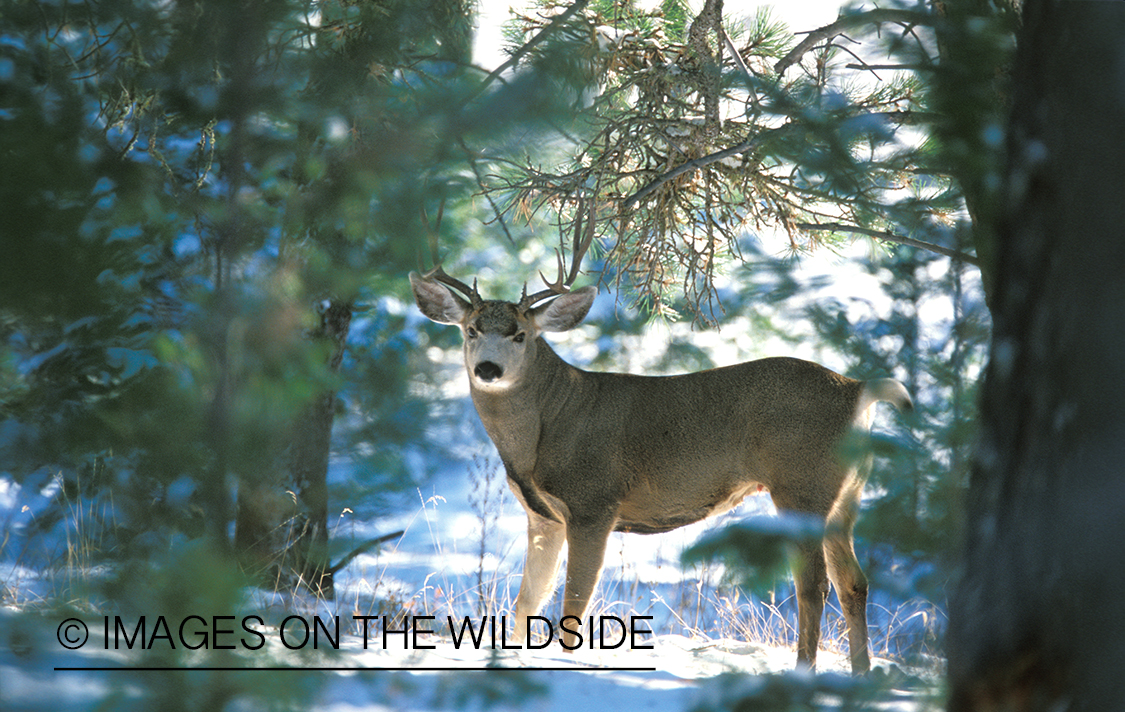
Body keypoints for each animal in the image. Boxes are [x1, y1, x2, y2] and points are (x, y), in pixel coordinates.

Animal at [409, 219, 911, 674]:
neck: (544, 429)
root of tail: (858, 390)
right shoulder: (542, 515)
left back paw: (804, 672)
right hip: (845, 494)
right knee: (853, 582)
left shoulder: (594, 502)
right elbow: (526, 601)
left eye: (520, 334)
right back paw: (862, 675)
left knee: (813, 586)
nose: (488, 369)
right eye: (471, 330)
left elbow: (574, 603)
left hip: (800, 484)